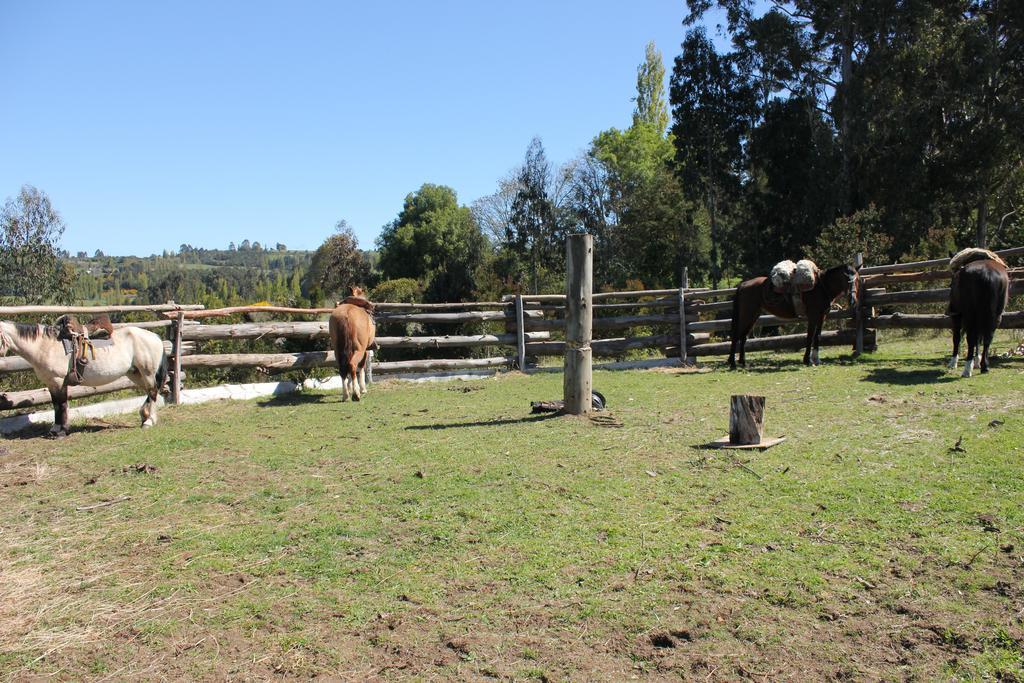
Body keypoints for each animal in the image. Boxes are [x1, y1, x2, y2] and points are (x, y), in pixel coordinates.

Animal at [0, 321, 167, 438]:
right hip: (135, 373)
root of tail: (155, 337)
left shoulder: (58, 381)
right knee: (150, 392)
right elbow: (57, 404)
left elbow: (61, 405)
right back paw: (144, 415)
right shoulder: (51, 383)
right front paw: (56, 429)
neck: (44, 346)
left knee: (153, 392)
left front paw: (60, 431)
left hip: (147, 372)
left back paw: (149, 421)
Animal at [724, 264, 860, 368]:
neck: (822, 287)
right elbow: (810, 337)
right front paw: (807, 360)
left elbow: (817, 337)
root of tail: (743, 285)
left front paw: (816, 360)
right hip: (746, 314)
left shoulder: (822, 317)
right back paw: (733, 363)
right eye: (846, 279)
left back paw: (742, 362)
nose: (853, 300)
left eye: (857, 279)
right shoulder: (813, 316)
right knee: (736, 336)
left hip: (753, 316)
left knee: (743, 337)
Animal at [946, 248, 1011, 376]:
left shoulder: (957, 316)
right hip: (995, 316)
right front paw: (977, 361)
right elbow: (979, 339)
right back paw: (984, 366)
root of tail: (988, 275)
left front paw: (953, 362)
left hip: (970, 315)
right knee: (987, 338)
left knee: (970, 338)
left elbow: (957, 338)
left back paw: (967, 369)